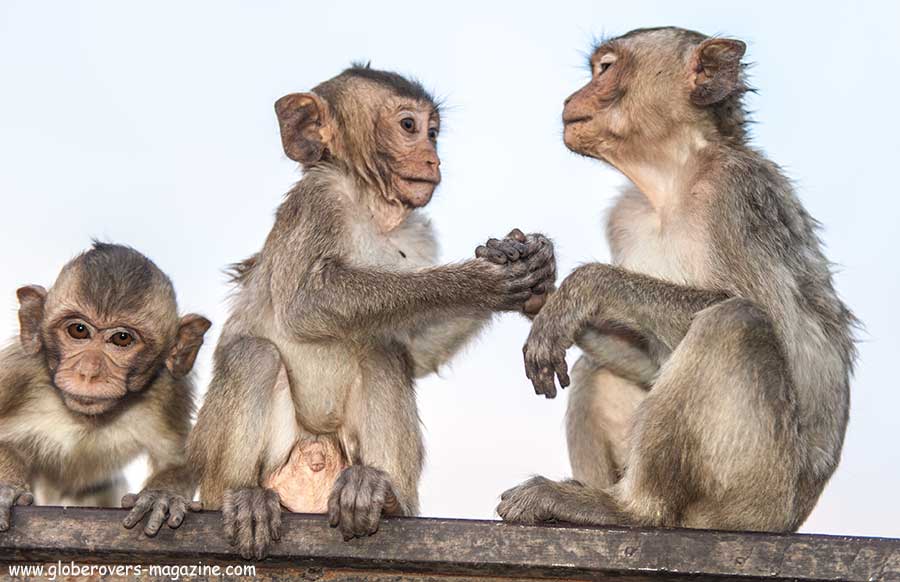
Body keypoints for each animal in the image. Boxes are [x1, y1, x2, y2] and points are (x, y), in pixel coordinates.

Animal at [0, 243, 211, 540]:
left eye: (122, 338)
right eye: (78, 330)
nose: (89, 372)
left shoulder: (168, 391)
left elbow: (179, 460)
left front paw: (163, 495)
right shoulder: (17, 374)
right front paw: (6, 487)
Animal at [187, 65, 556, 560]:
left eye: (433, 132)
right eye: (409, 126)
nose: (432, 158)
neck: (370, 205)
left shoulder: (418, 232)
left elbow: (416, 350)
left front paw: (534, 273)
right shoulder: (317, 200)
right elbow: (307, 301)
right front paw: (483, 279)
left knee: (383, 354)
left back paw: (384, 496)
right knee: (254, 356)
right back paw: (242, 497)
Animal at [500, 29, 856, 536]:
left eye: (605, 68)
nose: (572, 98)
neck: (672, 181)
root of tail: (791, 519)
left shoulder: (736, 193)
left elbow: (777, 322)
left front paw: (583, 287)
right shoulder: (625, 218)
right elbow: (651, 359)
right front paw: (536, 288)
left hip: (755, 495)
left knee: (735, 322)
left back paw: (629, 510)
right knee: (596, 367)